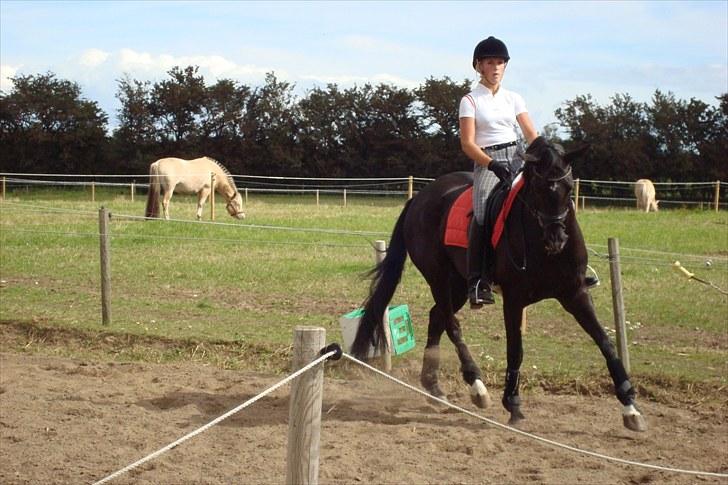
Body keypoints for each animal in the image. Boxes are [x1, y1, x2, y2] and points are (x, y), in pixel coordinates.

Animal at [352, 135, 648, 432]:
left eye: (567, 188)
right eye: (537, 188)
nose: (556, 240)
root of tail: (420, 198)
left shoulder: (575, 293)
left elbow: (605, 342)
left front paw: (630, 407)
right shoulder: (514, 300)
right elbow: (515, 349)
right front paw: (513, 404)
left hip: (459, 284)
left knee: (437, 318)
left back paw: (434, 389)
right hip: (439, 278)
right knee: (451, 324)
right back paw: (477, 387)